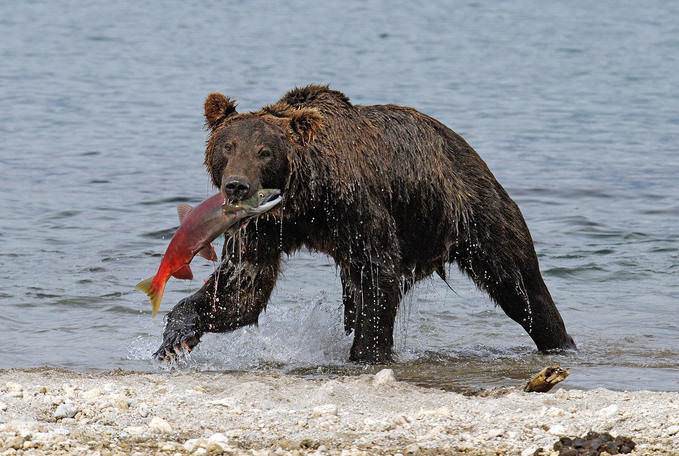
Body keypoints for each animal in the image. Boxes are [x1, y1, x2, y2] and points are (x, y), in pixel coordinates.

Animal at [153, 84, 572, 364]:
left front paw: (367, 354)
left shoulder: (356, 209)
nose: (237, 185)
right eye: (228, 146)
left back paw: (559, 341)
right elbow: (241, 288)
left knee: (519, 283)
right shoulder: (262, 228)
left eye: (265, 151)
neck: (307, 203)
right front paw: (175, 337)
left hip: (474, 212)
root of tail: (467, 149)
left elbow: (375, 275)